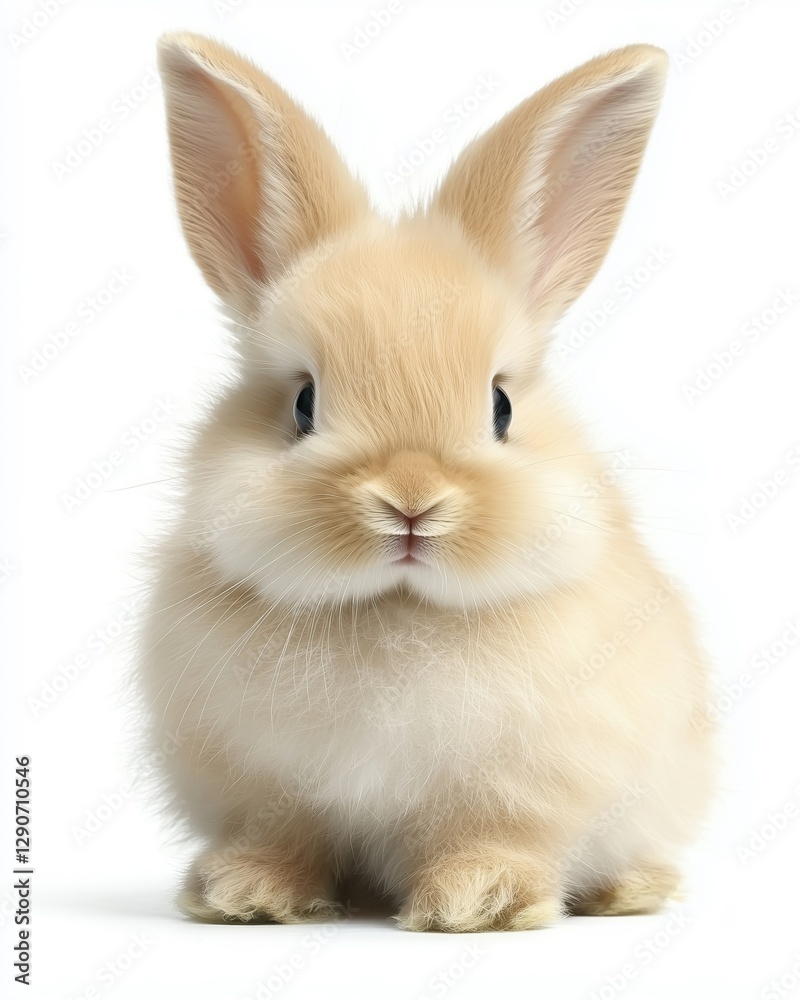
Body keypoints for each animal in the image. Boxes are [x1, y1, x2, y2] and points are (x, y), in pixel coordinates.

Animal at [136, 32, 715, 932]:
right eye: (304, 403)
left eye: (501, 405)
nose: (411, 505)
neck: (397, 613)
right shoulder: (264, 787)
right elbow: (283, 835)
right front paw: (248, 893)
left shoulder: (523, 787)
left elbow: (496, 835)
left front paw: (478, 901)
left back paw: (630, 890)